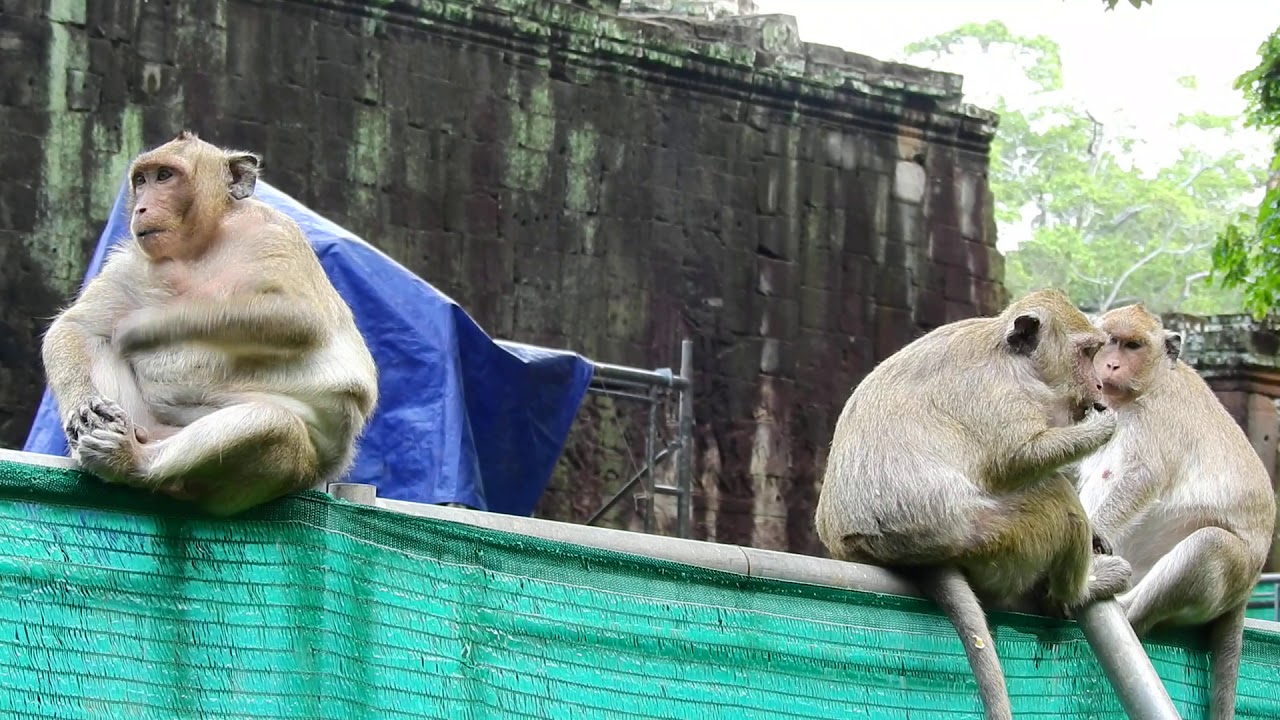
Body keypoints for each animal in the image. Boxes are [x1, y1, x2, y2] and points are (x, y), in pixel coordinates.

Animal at [40, 131, 380, 517]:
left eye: (164, 177)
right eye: (141, 181)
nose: (141, 208)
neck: (202, 246)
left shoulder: (274, 233)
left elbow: (299, 316)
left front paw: (150, 325)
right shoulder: (133, 264)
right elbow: (76, 327)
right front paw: (85, 406)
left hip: (279, 473)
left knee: (270, 424)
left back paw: (133, 461)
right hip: (146, 422)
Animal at [814, 288, 1131, 720]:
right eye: (1086, 354)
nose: (1099, 385)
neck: (1016, 361)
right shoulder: (1002, 393)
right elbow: (1015, 459)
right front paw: (1100, 427)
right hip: (993, 539)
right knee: (1054, 496)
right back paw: (1081, 590)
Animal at [1078, 304, 1276, 720]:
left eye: (1132, 346)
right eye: (1108, 342)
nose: (1111, 365)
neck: (1148, 384)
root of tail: (1247, 590)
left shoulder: (1157, 414)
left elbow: (1142, 476)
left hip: (1228, 577)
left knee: (1210, 543)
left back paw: (1129, 609)